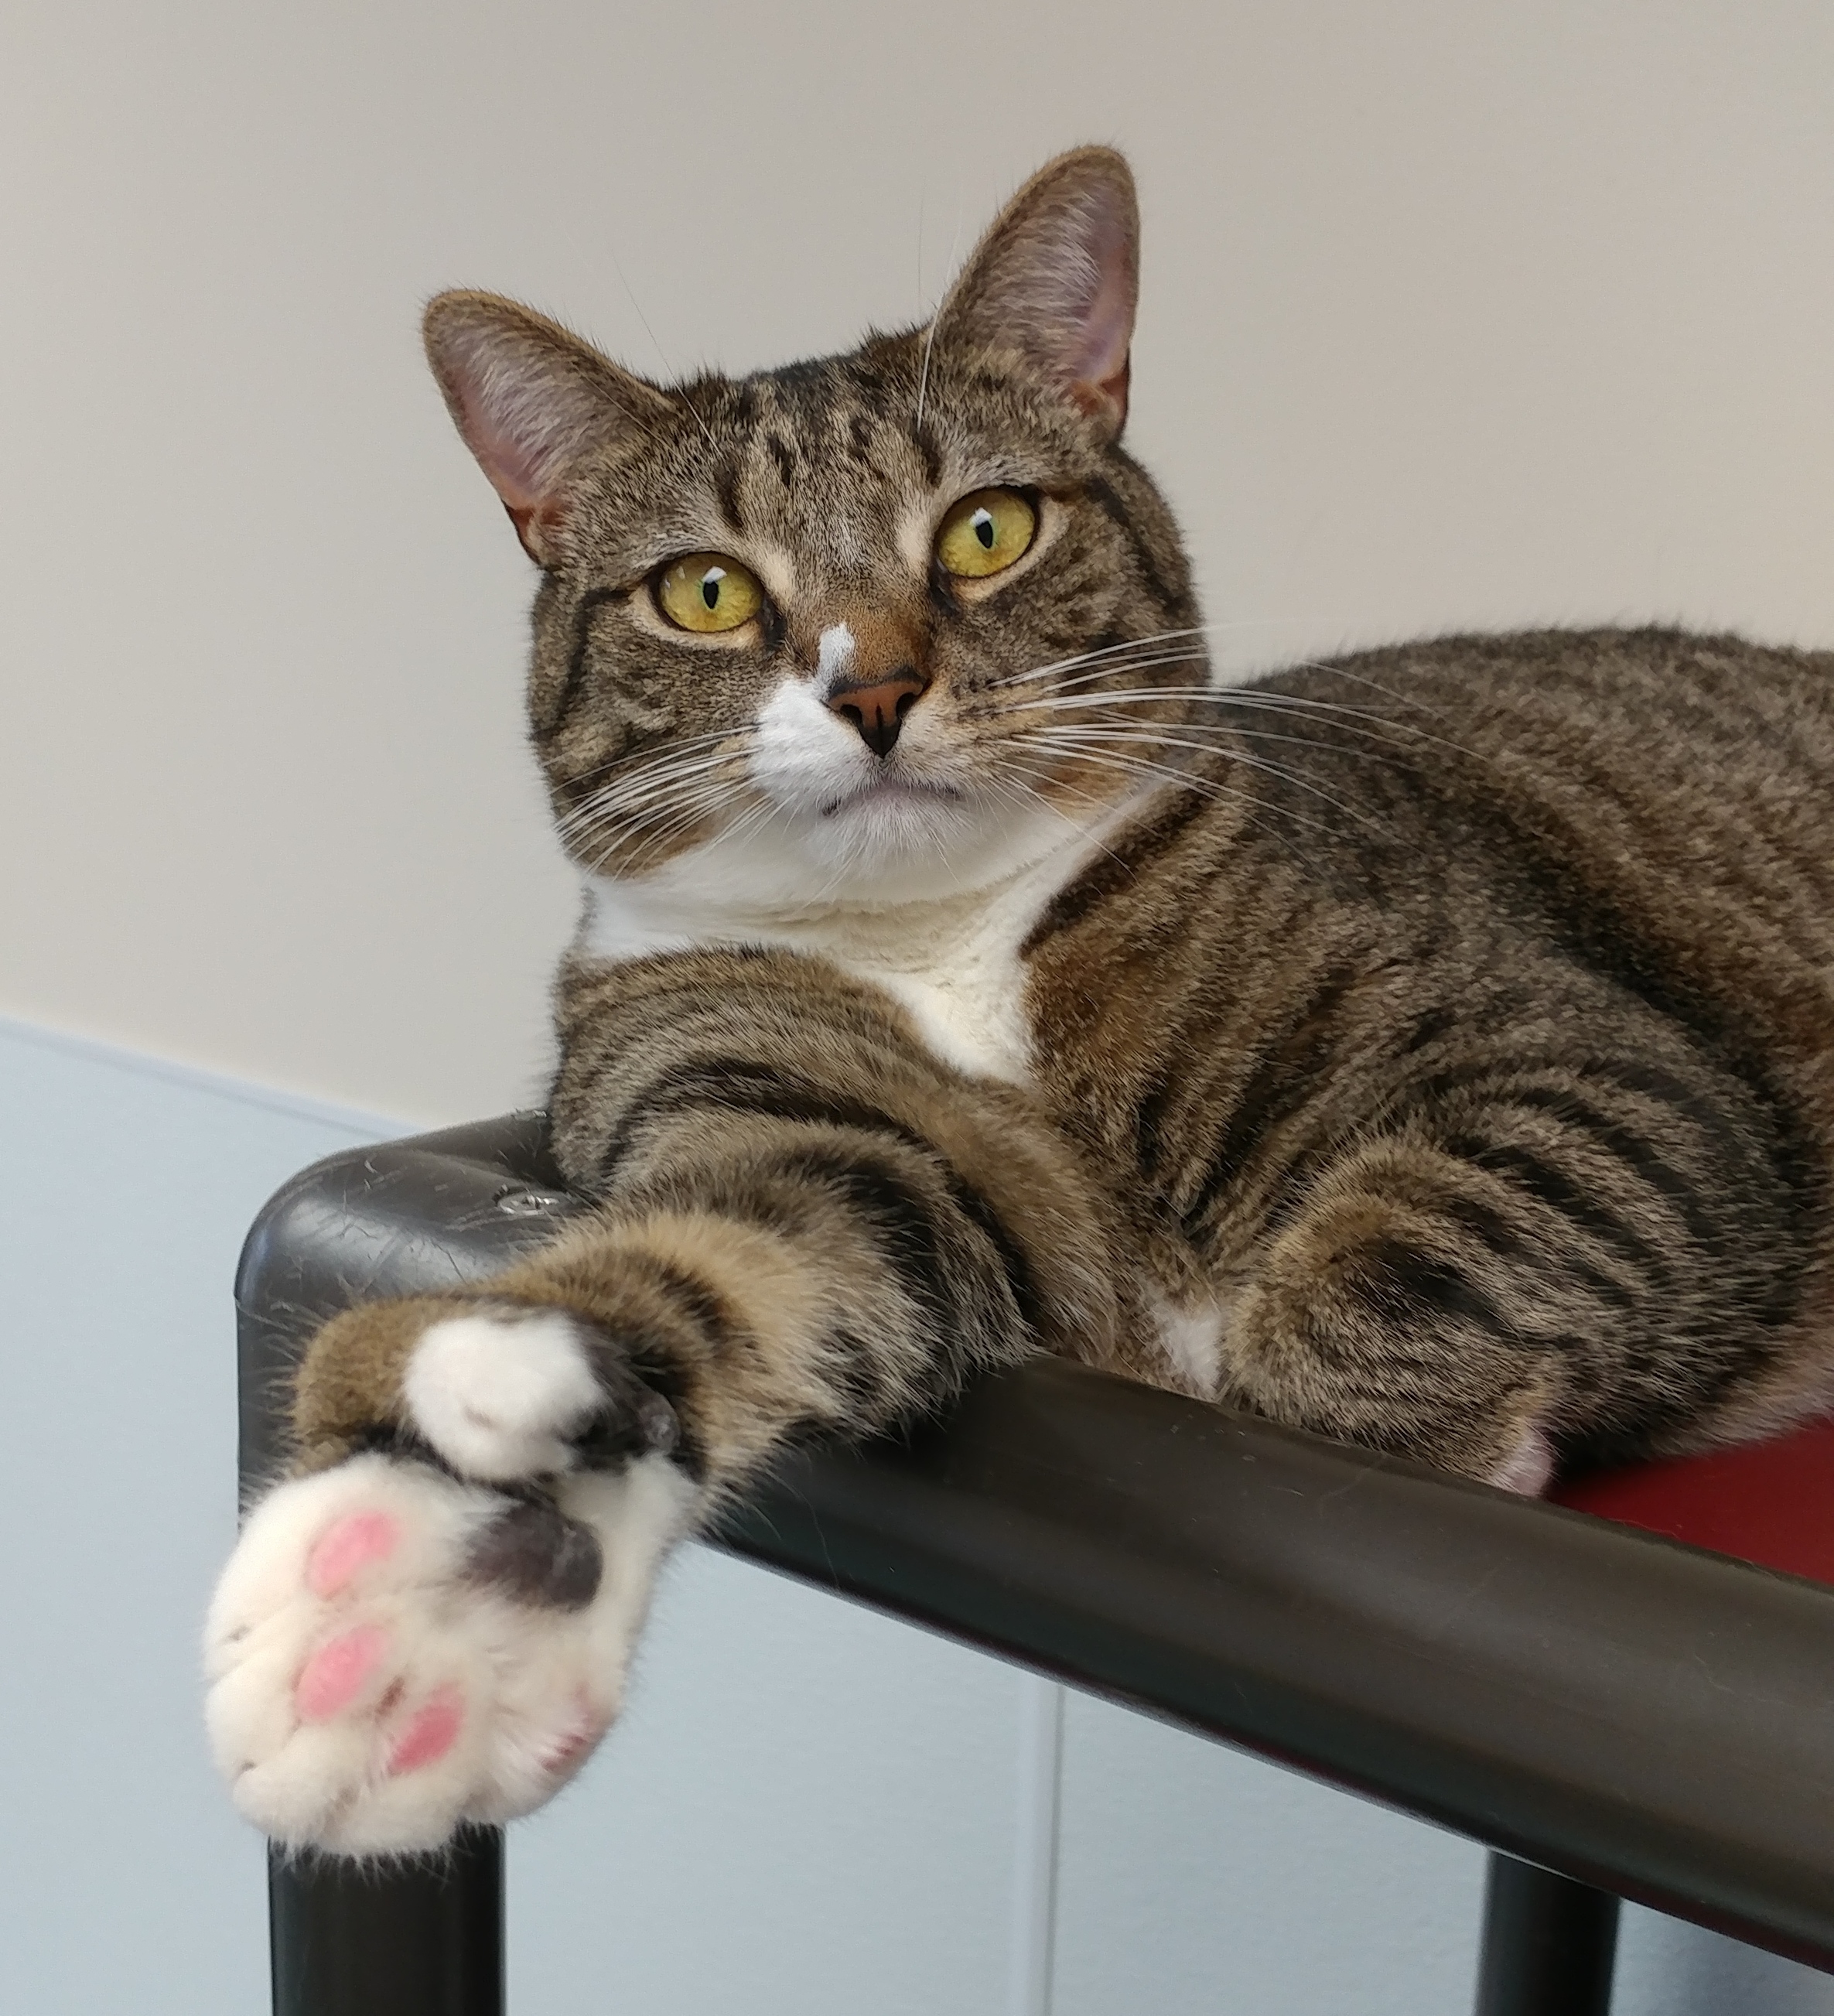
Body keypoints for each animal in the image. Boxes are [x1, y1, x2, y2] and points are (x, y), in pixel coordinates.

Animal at [204, 149, 1834, 1854]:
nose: (870, 688)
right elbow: (728, 1256)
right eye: (706, 592)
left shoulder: (1595, 1072)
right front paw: (428, 1600)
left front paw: (1450, 1431)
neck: (946, 940)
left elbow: (1381, 1265)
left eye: (985, 530)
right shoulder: (783, 1122)